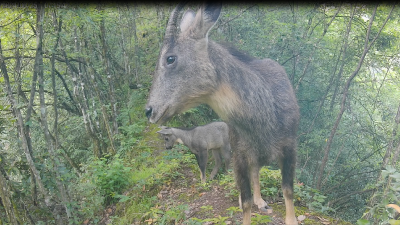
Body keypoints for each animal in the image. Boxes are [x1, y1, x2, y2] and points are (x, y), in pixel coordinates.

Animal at [145, 2, 298, 224]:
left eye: (170, 58)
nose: (149, 110)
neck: (263, 113)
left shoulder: (289, 148)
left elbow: (288, 190)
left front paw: (291, 218)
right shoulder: (241, 153)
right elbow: (246, 200)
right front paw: (247, 203)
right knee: (253, 175)